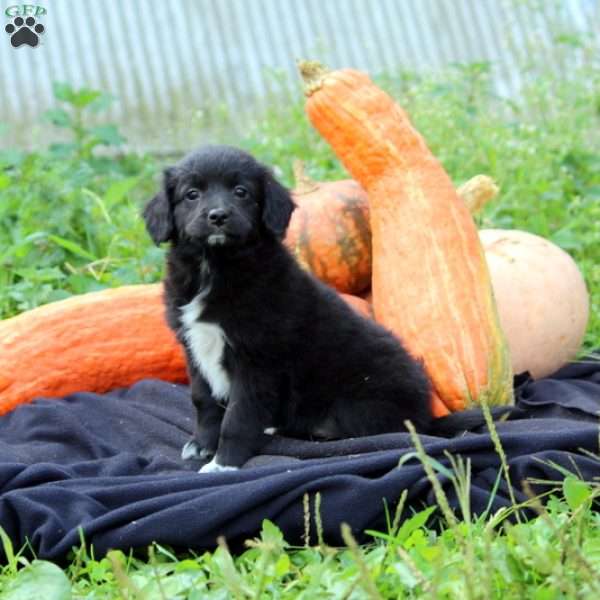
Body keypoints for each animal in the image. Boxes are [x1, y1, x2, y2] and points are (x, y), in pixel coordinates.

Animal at [145, 145, 436, 474]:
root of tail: (425, 407)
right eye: (191, 194)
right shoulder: (194, 350)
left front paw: (224, 464)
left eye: (241, 191)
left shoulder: (255, 361)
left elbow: (237, 417)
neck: (215, 267)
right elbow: (203, 402)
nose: (218, 215)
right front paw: (202, 446)